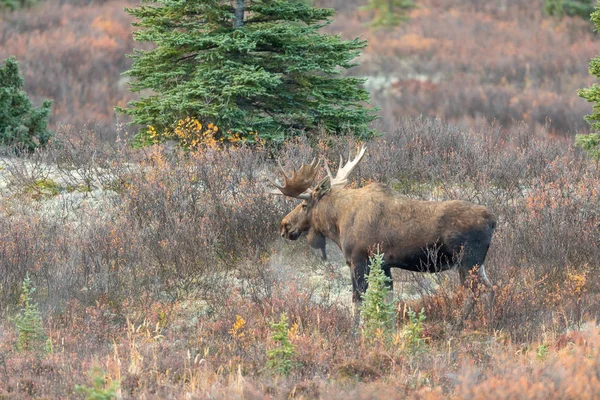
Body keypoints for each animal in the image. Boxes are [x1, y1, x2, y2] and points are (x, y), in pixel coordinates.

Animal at [270, 147, 494, 324]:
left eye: (304, 205)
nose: (284, 226)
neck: (338, 222)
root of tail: (493, 220)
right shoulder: (385, 264)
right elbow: (388, 302)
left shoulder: (358, 259)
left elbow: (357, 300)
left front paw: (356, 332)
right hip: (478, 264)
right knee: (490, 288)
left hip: (467, 261)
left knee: (475, 292)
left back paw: (459, 324)